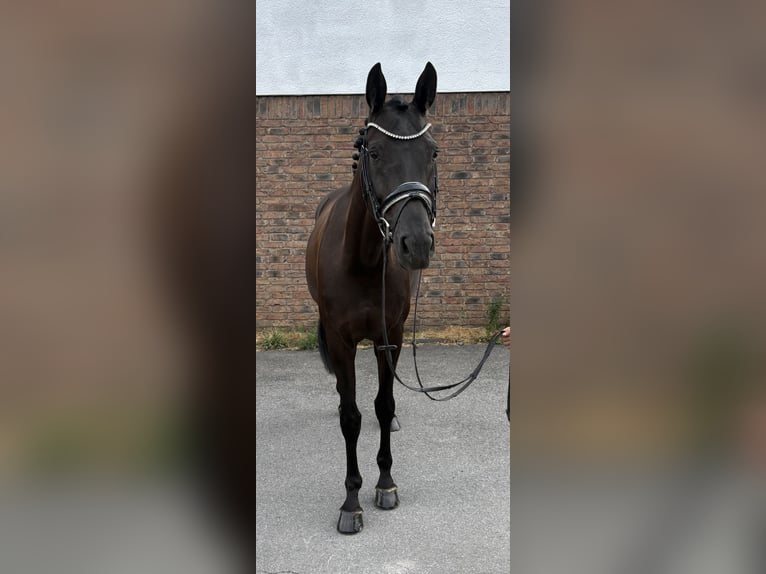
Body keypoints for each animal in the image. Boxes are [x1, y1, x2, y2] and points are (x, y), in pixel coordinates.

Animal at [306, 62, 439, 534]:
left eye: (433, 153)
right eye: (375, 153)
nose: (416, 244)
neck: (363, 260)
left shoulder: (390, 336)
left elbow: (383, 404)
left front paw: (385, 483)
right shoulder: (342, 341)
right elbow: (351, 417)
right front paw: (351, 502)